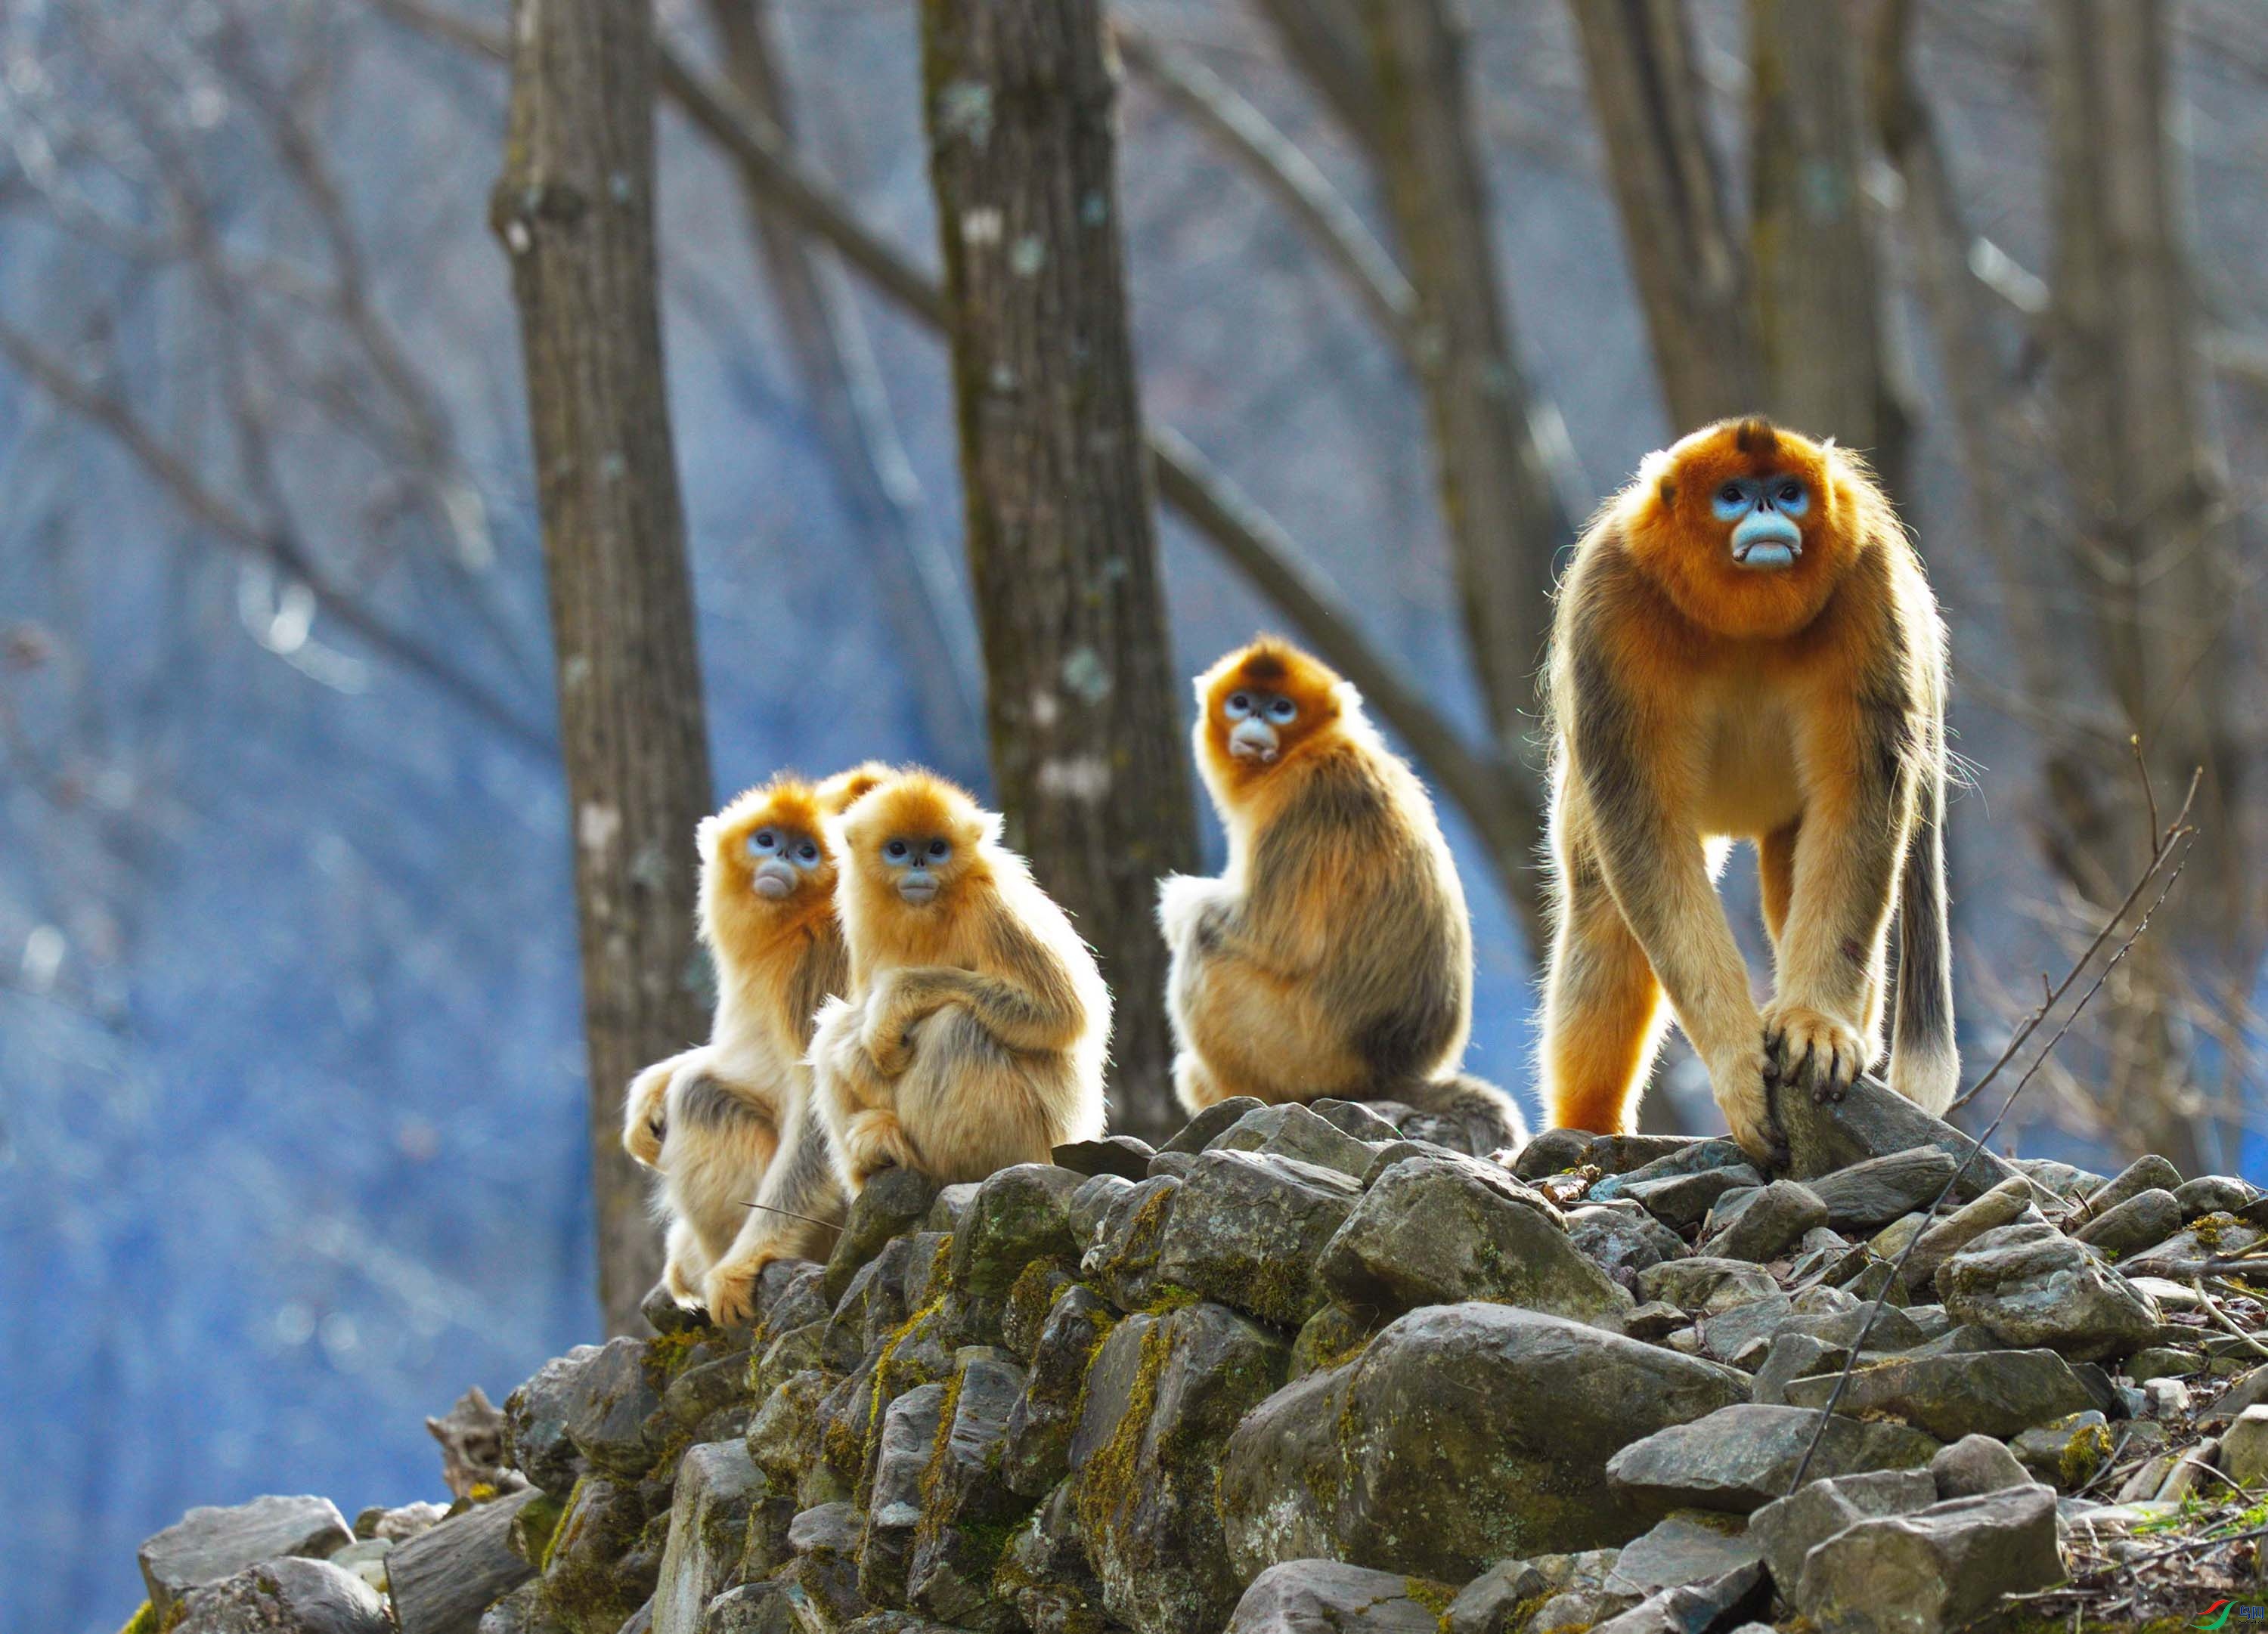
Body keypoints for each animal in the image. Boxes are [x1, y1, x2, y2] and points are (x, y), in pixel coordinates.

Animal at [635, 757, 889, 1323]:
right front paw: (644, 1099)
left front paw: (740, 1267)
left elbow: (817, 1111)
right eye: (767, 839)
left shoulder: (822, 958)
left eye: (807, 851)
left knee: (701, 1095)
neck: (795, 924)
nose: (783, 859)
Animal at [812, 770, 1111, 1187]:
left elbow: (1064, 1014)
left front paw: (889, 1010)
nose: (919, 863)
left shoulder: (993, 904)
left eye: (937, 848)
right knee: (833, 1030)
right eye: (898, 849)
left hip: (1031, 1140)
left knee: (954, 1025)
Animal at [1161, 639, 1533, 1147]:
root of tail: (1390, 1073)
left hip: (1301, 1054)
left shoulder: (1306, 794)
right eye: (1241, 702)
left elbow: (1273, 935)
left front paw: (1175, 904)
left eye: (1281, 708)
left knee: (1206, 941)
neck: (1308, 748)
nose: (1255, 719)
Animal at [1542, 421, 1969, 1160]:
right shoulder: (1609, 598)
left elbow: (1860, 800)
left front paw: (1816, 1025)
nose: (1768, 512)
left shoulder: (1870, 584)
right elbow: (1643, 835)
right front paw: (1736, 1062)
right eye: (1735, 495)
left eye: (1788, 492)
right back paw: (1588, 1125)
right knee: (1603, 908)